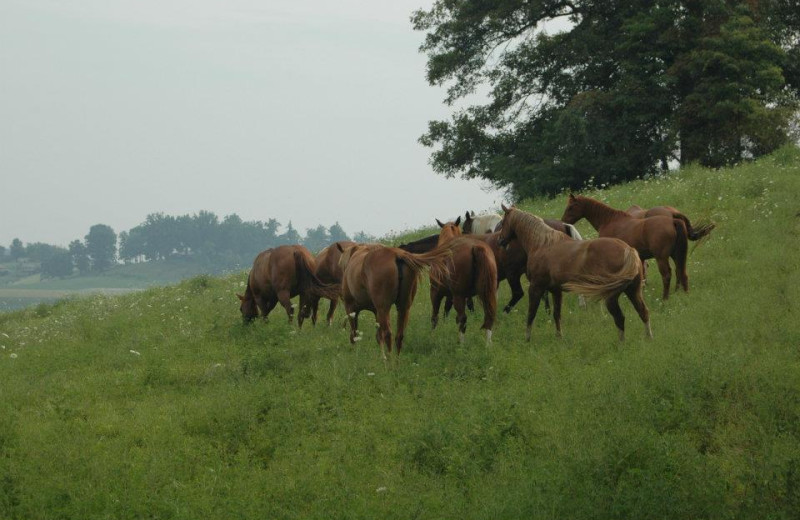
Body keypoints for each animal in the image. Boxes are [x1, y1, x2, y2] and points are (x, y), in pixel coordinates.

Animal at [500, 205, 648, 344]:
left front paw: (527, 339)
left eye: (502, 223)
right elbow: (557, 315)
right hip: (633, 291)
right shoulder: (556, 290)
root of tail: (628, 250)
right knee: (643, 312)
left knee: (619, 318)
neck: (543, 244)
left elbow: (531, 314)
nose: (500, 241)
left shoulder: (536, 287)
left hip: (611, 297)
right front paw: (559, 338)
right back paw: (649, 339)